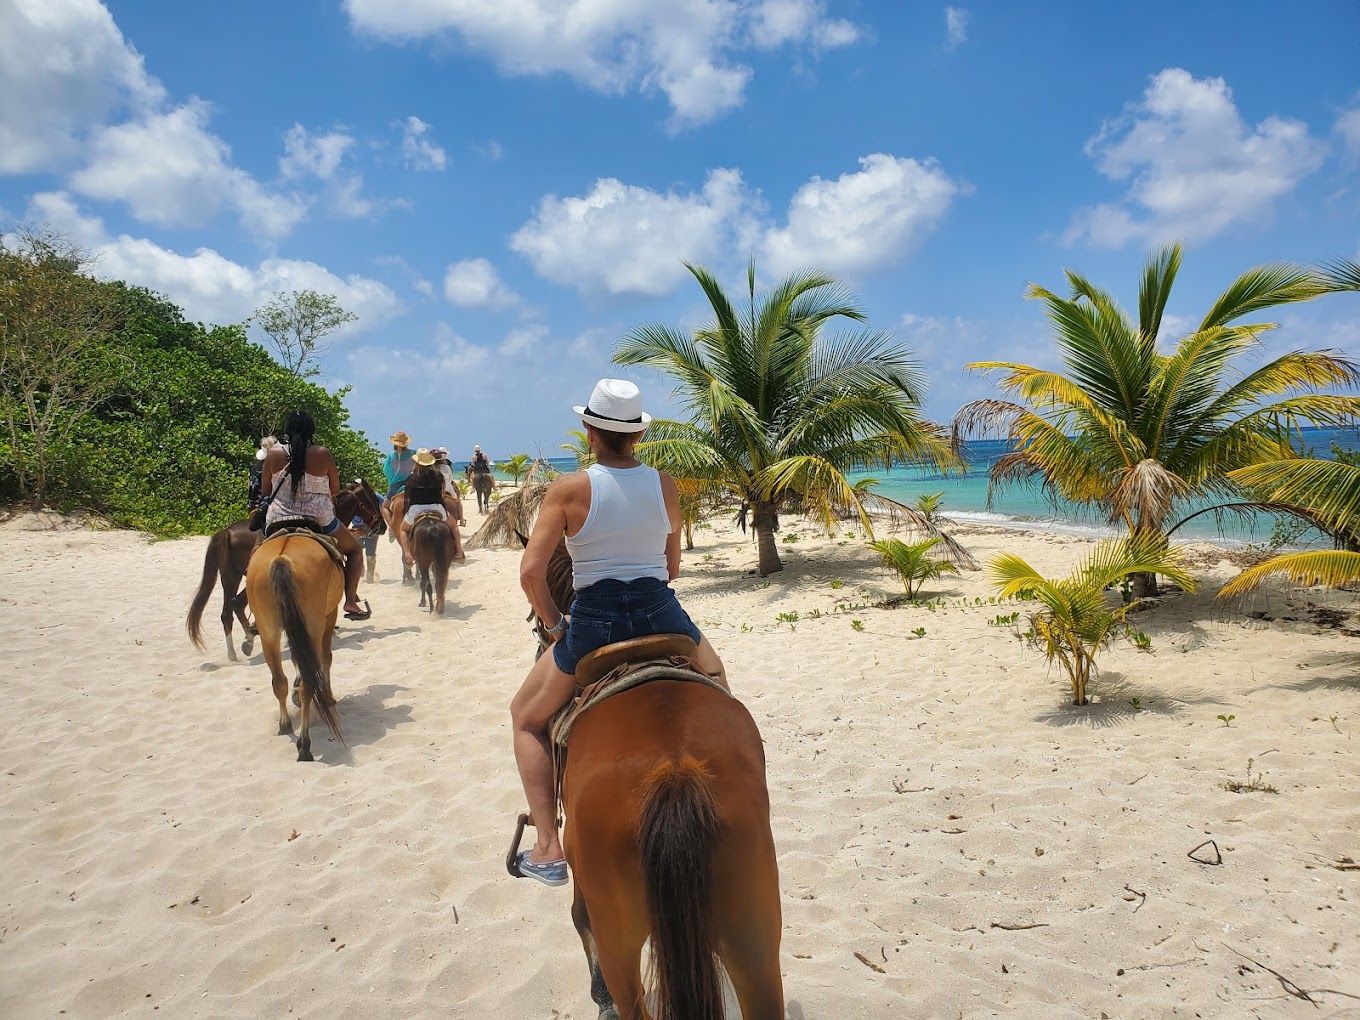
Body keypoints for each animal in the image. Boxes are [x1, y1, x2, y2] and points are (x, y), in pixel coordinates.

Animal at [186, 481, 383, 663]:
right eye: (373, 498)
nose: (382, 526)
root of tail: (226, 532)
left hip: (231, 578)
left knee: (230, 610)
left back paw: (242, 645)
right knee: (234, 607)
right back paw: (247, 640)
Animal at [248, 530, 345, 761]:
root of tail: (281, 558)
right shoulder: (330, 615)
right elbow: (326, 658)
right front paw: (328, 697)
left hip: (269, 633)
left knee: (279, 681)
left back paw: (285, 725)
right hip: (314, 626)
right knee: (307, 684)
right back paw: (304, 744)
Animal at [530, 538, 788, 1017]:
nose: (545, 638)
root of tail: (675, 770)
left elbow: (579, 918)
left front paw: (600, 999)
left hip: (621, 944)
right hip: (756, 943)